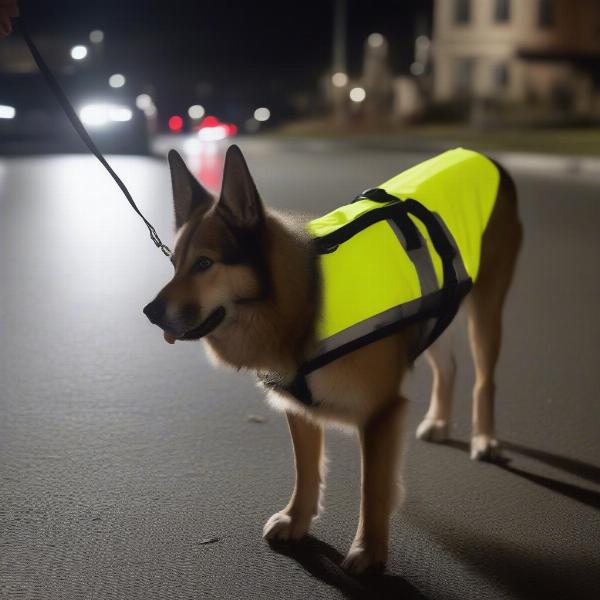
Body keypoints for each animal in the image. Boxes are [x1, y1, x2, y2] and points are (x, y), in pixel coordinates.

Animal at [144, 143, 520, 576]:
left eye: (204, 264)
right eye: (174, 265)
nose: (149, 313)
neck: (303, 302)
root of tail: (478, 154)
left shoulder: (381, 414)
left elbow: (373, 488)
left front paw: (369, 551)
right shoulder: (300, 408)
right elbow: (306, 471)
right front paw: (298, 520)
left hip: (485, 311)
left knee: (484, 378)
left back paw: (485, 439)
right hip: (440, 309)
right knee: (449, 368)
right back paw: (440, 421)